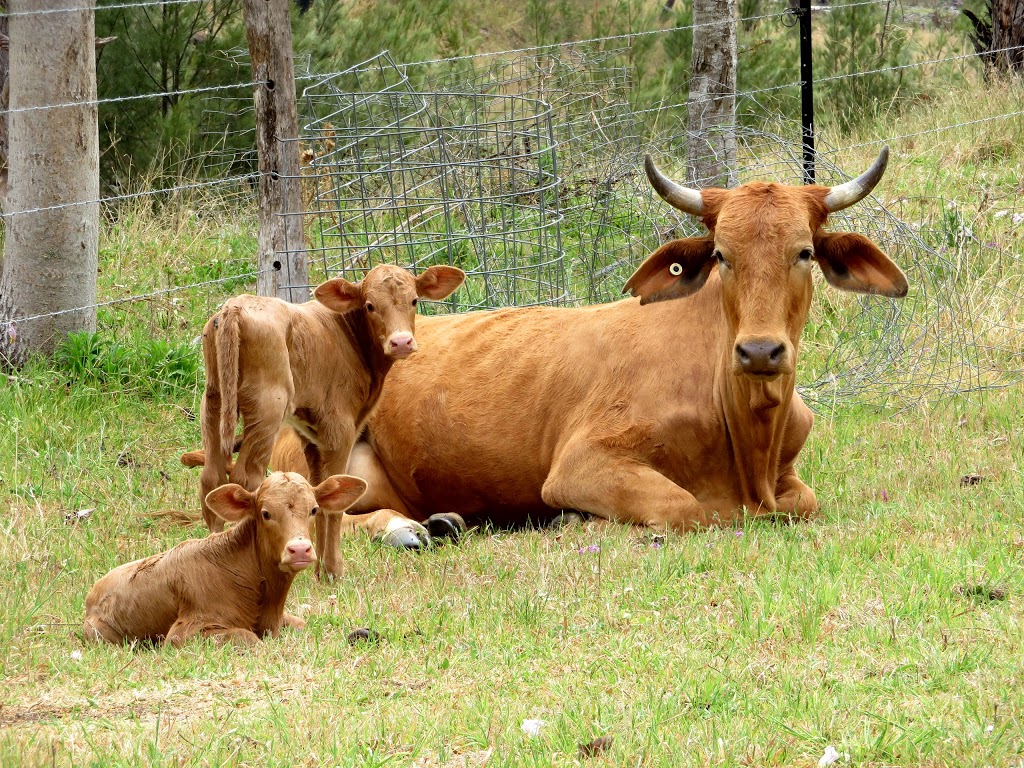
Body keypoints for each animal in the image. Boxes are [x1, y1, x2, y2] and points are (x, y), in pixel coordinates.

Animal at [82, 473, 368, 647]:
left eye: (314, 509)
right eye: (265, 513)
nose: (299, 549)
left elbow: (300, 623)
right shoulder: (183, 632)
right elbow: (248, 638)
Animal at [196, 264, 468, 577]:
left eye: (413, 300)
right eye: (370, 305)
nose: (401, 342)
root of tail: (235, 306)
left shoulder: (311, 436)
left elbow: (319, 491)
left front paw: (319, 567)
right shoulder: (340, 429)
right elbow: (336, 496)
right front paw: (332, 570)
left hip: (213, 399)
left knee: (211, 477)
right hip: (267, 406)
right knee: (246, 478)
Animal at [288, 148, 905, 536]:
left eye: (804, 251)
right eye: (722, 255)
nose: (759, 352)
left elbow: (803, 502)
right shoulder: (581, 465)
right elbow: (690, 509)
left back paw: (442, 521)